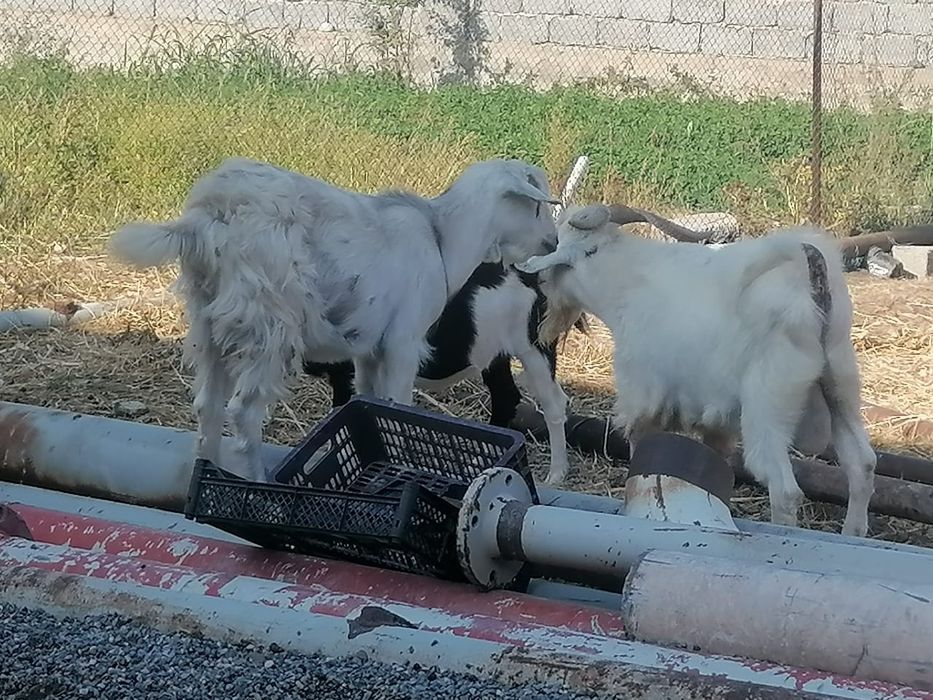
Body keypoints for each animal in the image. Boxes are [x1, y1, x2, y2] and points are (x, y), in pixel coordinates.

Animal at [108, 156, 560, 481]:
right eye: (537, 204)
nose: (553, 242)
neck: (442, 236)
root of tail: (204, 219)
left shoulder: (369, 350)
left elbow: (374, 404)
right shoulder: (403, 342)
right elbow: (400, 408)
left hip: (210, 323)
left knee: (208, 406)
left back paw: (207, 472)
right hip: (268, 324)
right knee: (244, 413)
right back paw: (257, 482)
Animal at [517, 203, 876, 536]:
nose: (540, 284)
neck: (627, 284)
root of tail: (811, 279)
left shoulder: (643, 396)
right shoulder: (714, 421)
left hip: (768, 407)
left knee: (785, 489)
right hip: (840, 388)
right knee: (863, 463)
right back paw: (853, 534)